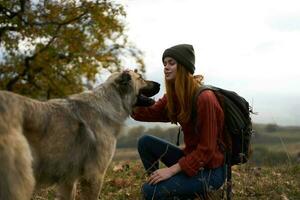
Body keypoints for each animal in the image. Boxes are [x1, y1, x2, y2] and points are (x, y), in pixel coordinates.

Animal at [0, 69, 161, 199]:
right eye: (140, 78)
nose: (159, 84)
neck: (111, 103)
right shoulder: (94, 175)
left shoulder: (68, 180)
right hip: (22, 182)